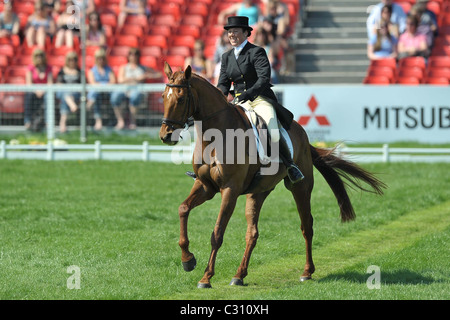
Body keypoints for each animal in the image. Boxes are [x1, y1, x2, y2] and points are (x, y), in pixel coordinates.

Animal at [159, 62, 386, 288]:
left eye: (180, 98)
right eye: (163, 96)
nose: (165, 136)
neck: (215, 137)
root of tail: (303, 135)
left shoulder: (229, 189)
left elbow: (217, 232)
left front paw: (206, 277)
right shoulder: (205, 186)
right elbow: (183, 209)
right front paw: (188, 260)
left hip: (300, 188)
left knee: (306, 226)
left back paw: (307, 272)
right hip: (258, 192)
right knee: (252, 233)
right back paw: (239, 275)